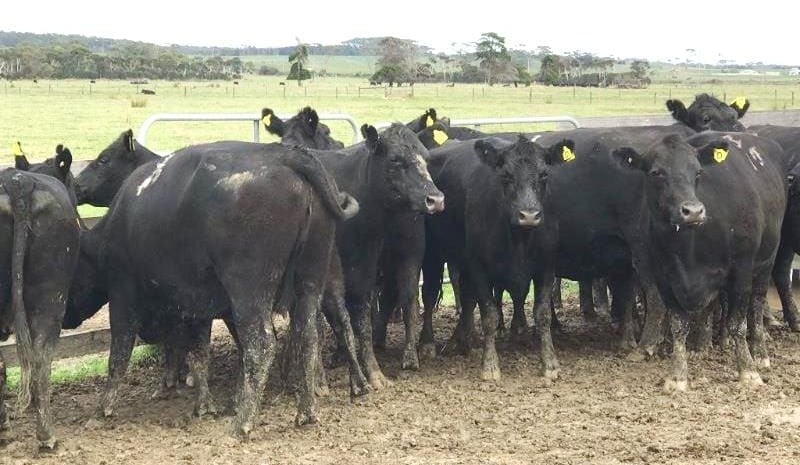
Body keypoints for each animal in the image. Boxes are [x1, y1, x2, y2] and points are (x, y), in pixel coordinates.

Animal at [67, 141, 357, 436]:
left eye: (103, 160)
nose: (65, 317)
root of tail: (284, 154)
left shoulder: (124, 297)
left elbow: (119, 353)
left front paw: (102, 409)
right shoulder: (196, 305)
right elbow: (198, 354)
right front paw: (203, 404)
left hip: (249, 292)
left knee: (262, 344)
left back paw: (244, 422)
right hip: (310, 281)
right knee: (309, 336)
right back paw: (307, 411)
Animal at [422, 136, 574, 380]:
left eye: (544, 174)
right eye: (506, 175)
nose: (529, 215)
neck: (519, 240)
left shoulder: (546, 267)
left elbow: (542, 315)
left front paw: (550, 363)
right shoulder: (480, 268)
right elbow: (489, 315)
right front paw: (490, 365)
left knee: (466, 298)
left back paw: (468, 343)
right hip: (433, 254)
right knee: (429, 295)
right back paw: (427, 344)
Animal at [612, 132, 786, 390]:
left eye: (698, 172)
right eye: (656, 172)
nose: (693, 211)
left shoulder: (742, 269)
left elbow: (738, 323)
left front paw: (747, 370)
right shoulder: (664, 275)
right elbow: (678, 325)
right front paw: (677, 375)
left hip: (767, 261)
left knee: (756, 307)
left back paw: (760, 353)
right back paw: (702, 347)